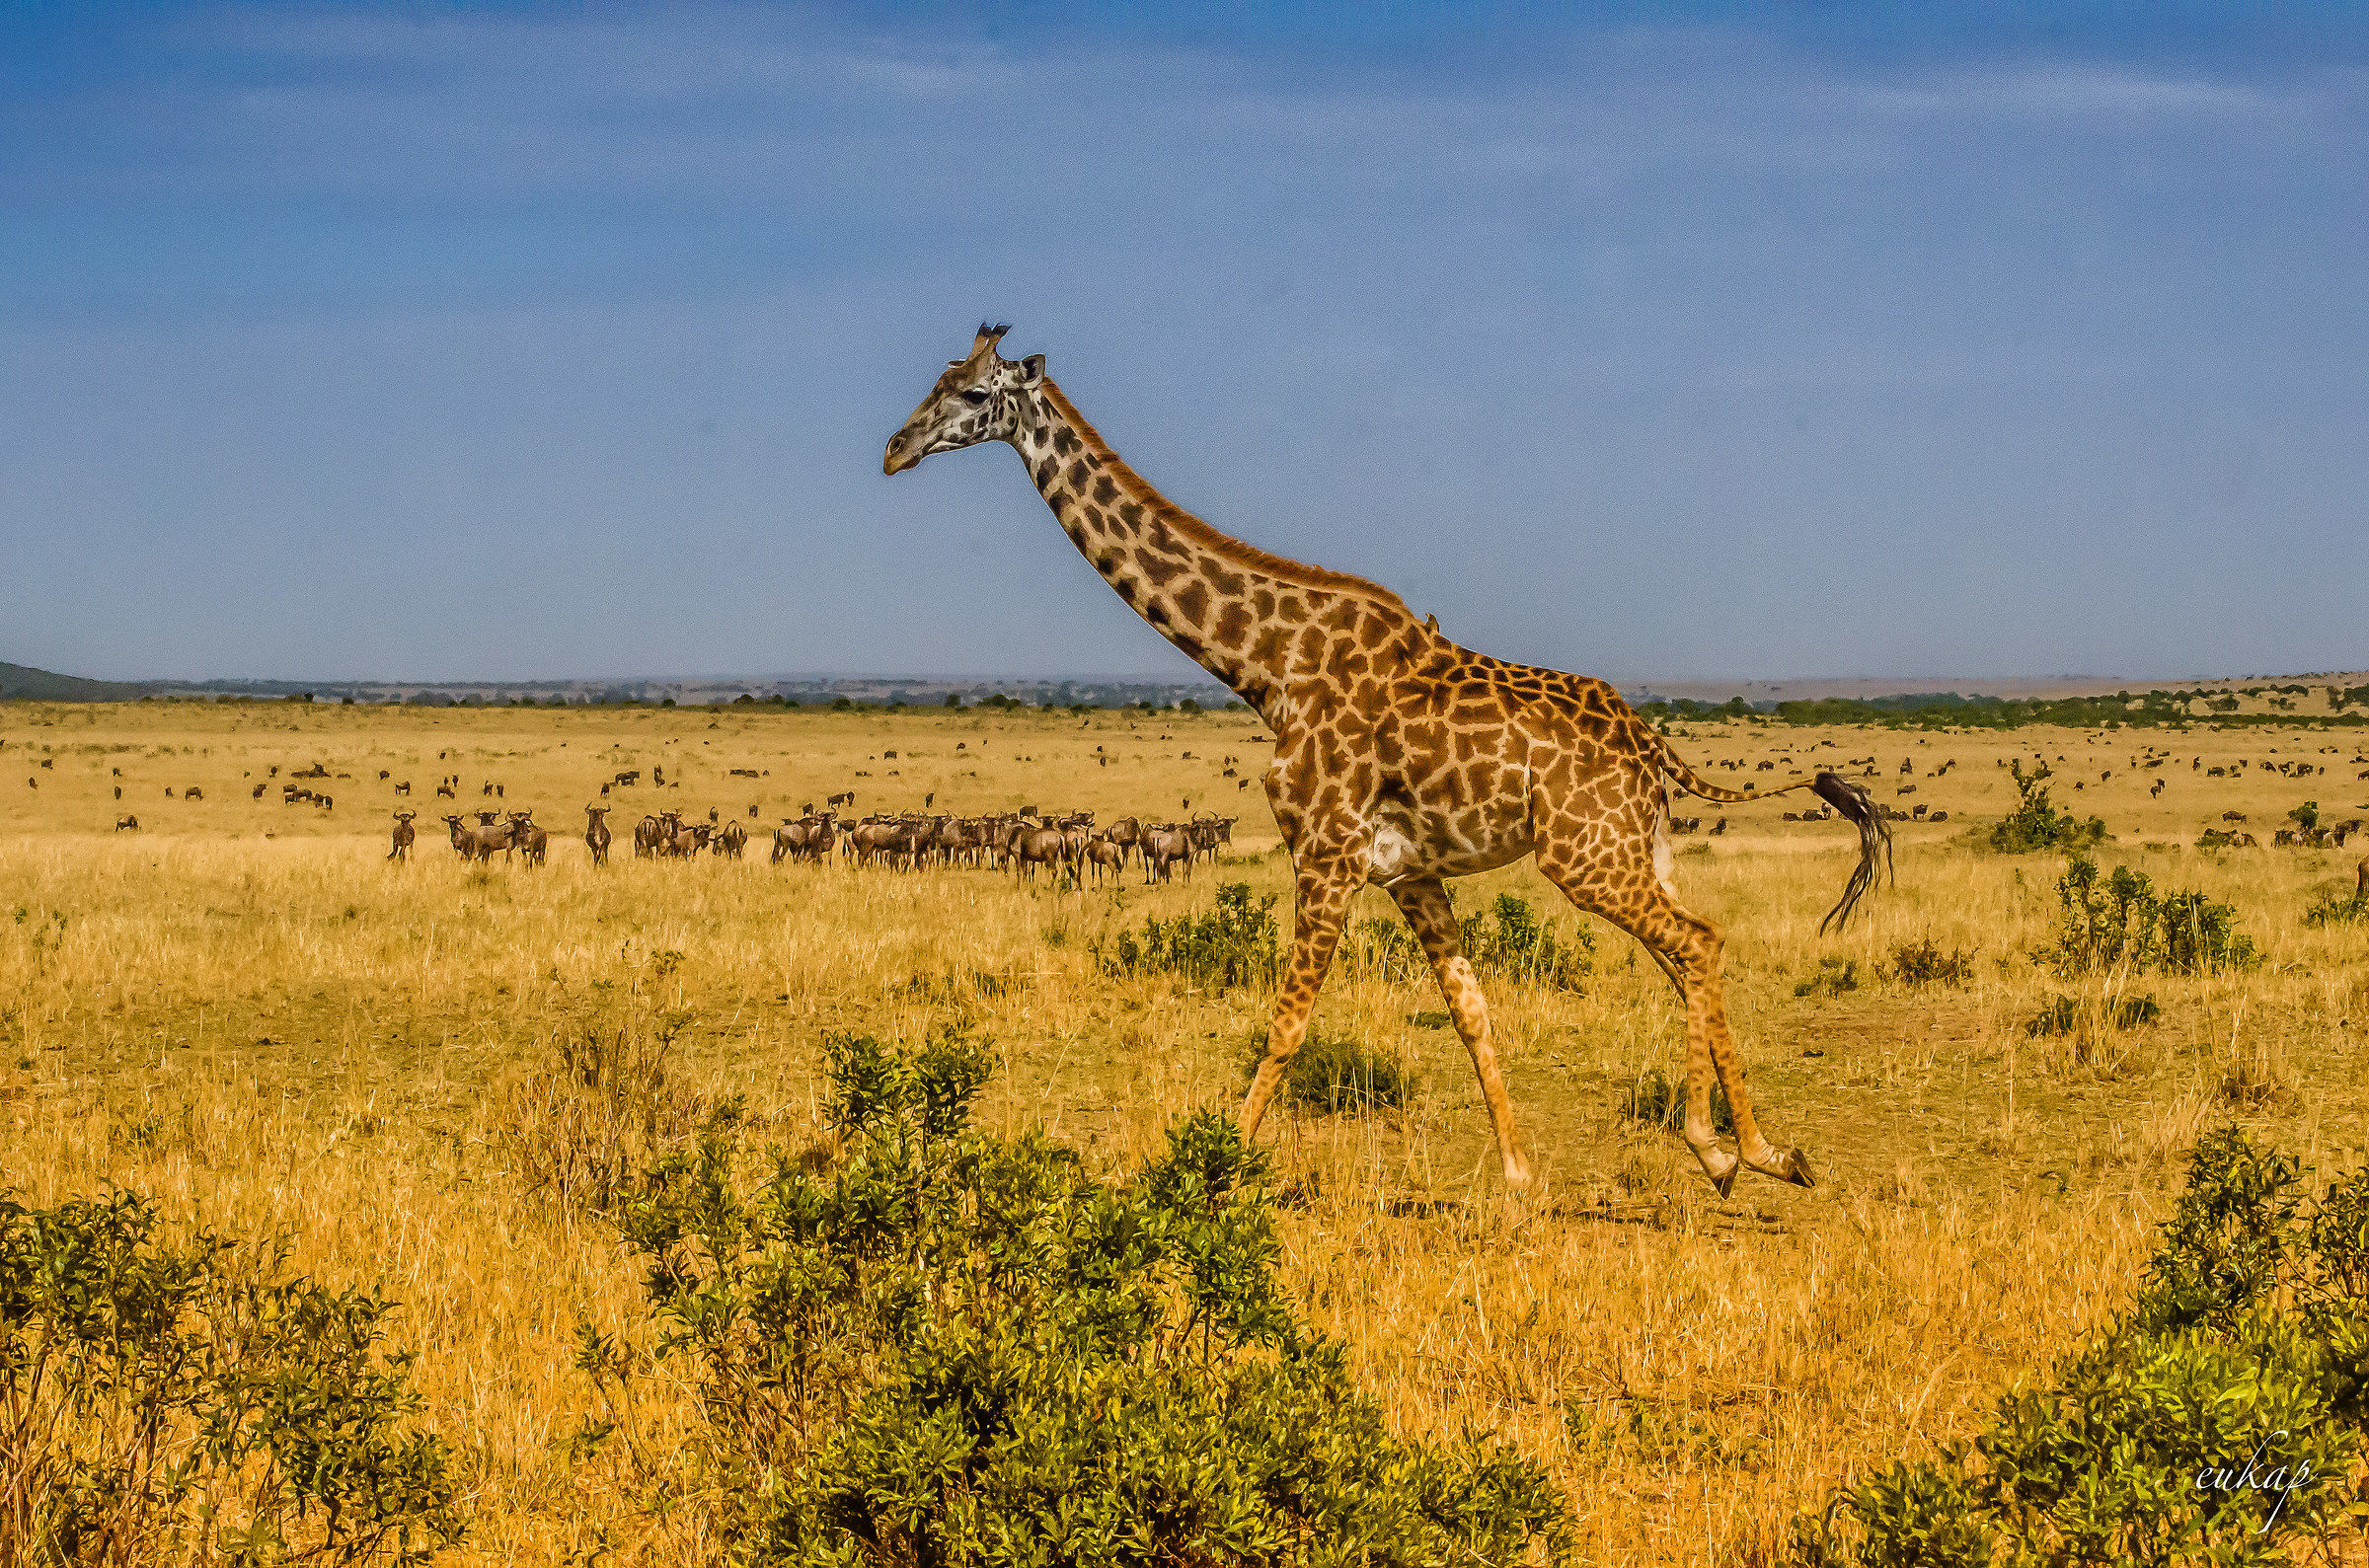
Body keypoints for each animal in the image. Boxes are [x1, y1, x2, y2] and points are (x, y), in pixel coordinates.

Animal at [886, 326, 1889, 1196]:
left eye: (971, 393)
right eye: (937, 377)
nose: (895, 448)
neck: (1269, 667)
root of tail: (1651, 743)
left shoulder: (1325, 853)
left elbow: (1287, 1023)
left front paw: (1209, 1174)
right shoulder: (1410, 872)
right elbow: (1472, 1012)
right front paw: (1520, 1179)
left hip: (1586, 857)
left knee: (1697, 943)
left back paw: (1723, 1148)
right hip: (1641, 849)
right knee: (1690, 955)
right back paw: (1764, 1150)